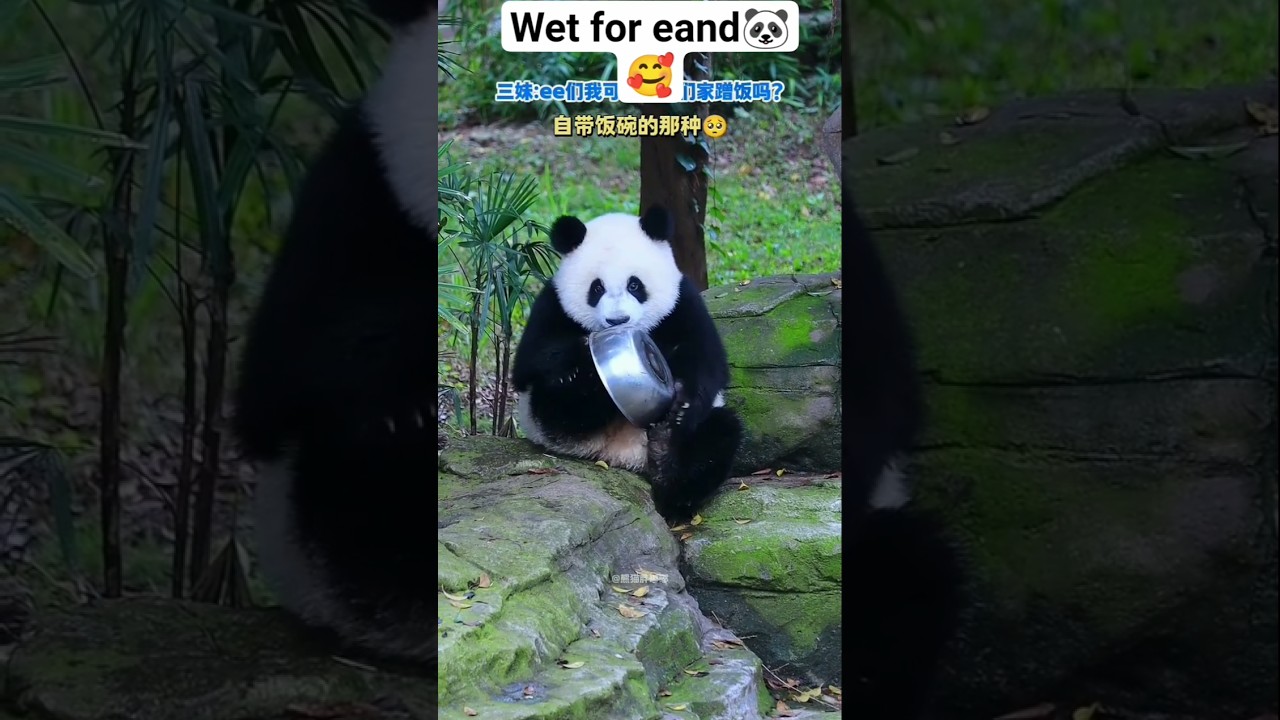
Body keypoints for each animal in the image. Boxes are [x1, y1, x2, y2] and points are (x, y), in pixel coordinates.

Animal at [511, 206, 744, 522]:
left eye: (635, 285)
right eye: (596, 288)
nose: (617, 321)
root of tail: (623, 457)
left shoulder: (683, 303)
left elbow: (708, 363)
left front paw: (682, 405)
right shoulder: (552, 304)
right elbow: (529, 361)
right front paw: (581, 360)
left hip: (699, 435)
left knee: (718, 437)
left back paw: (667, 467)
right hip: (550, 427)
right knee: (555, 404)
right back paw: (586, 387)